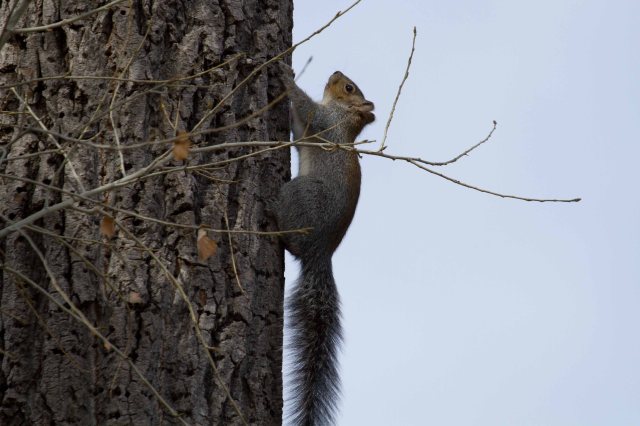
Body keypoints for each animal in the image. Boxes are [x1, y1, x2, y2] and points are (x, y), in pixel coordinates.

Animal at [275, 66, 375, 426]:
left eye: (349, 87)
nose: (336, 71)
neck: (344, 117)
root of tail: (322, 252)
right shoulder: (311, 127)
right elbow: (297, 123)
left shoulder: (323, 121)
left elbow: (306, 109)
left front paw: (285, 77)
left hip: (302, 195)